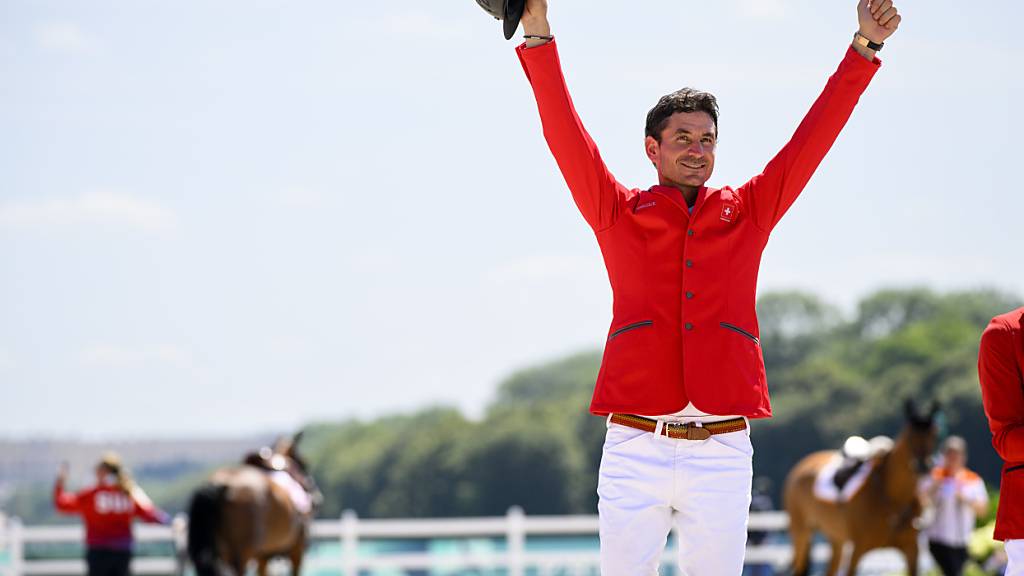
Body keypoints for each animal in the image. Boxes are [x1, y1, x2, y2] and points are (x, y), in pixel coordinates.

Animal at [187, 430, 319, 573]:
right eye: (304, 463)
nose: (318, 498)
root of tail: (223, 482)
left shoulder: (263, 556)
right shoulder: (296, 552)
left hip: (223, 552)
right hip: (241, 554)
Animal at [786, 399, 937, 573]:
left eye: (934, 433)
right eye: (910, 434)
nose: (923, 465)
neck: (892, 496)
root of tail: (803, 464)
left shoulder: (912, 550)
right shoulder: (857, 549)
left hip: (836, 539)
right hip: (801, 533)